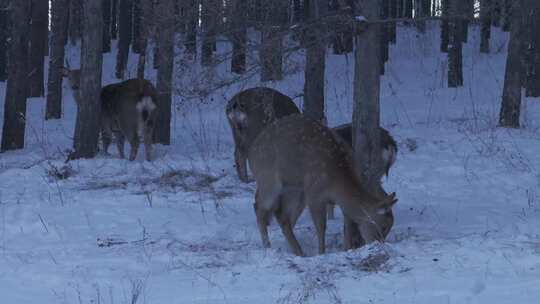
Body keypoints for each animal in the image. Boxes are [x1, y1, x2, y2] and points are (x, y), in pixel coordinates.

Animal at [248, 114, 396, 256]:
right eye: (383, 226)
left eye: (389, 227)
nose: (379, 243)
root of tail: (252, 150)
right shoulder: (314, 194)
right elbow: (321, 226)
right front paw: (321, 252)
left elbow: (347, 223)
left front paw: (346, 248)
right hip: (268, 179)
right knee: (259, 206)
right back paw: (268, 246)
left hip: (294, 189)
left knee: (282, 215)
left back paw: (298, 251)